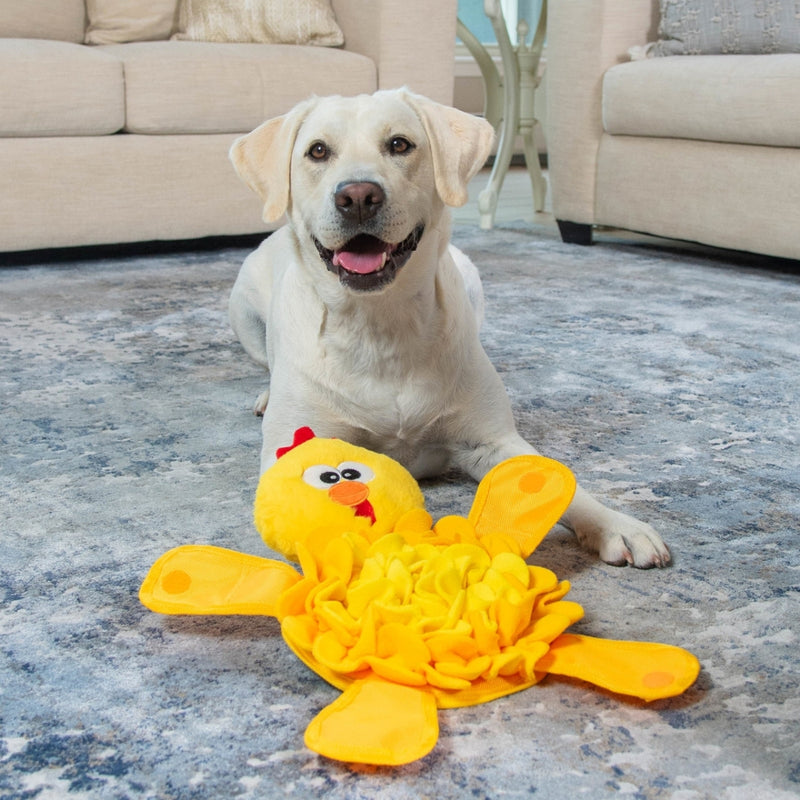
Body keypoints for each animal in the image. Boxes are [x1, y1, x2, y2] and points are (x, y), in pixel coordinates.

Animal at [227, 89, 668, 568]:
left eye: (400, 144)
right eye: (318, 151)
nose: (358, 196)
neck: (380, 323)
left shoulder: (492, 441)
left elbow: (556, 481)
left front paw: (616, 525)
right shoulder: (293, 451)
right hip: (243, 309)